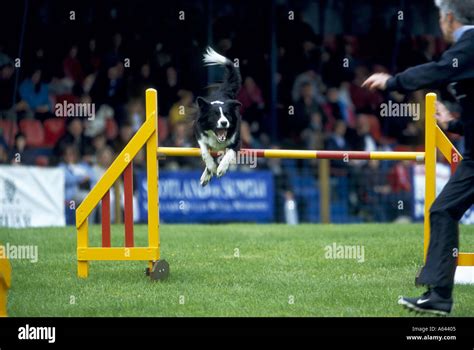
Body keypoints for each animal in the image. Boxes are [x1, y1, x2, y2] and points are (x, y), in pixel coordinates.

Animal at [194, 48, 243, 189]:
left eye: (227, 114)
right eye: (215, 115)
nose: (224, 123)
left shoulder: (236, 140)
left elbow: (230, 152)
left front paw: (221, 168)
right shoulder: (200, 133)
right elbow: (205, 151)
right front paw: (211, 167)